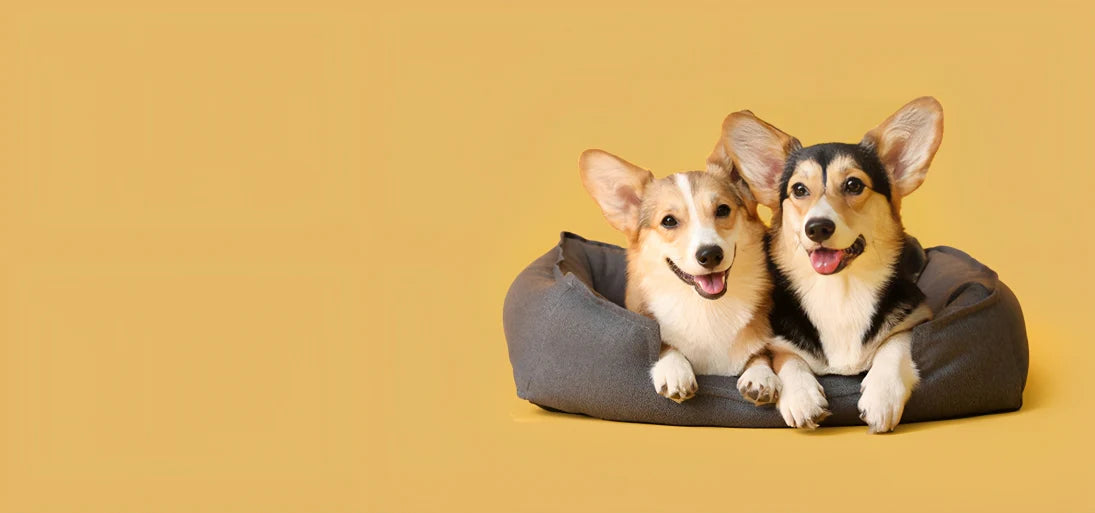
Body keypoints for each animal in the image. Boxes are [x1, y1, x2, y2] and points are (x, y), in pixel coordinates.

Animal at [582, 144, 779, 405]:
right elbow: (666, 345)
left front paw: (761, 375)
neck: (706, 307)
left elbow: (760, 353)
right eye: (668, 221)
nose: (710, 254)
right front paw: (674, 369)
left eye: (723, 210)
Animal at [713, 97, 946, 431]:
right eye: (799, 190)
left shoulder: (915, 317)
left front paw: (882, 396)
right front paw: (801, 397)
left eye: (853, 185)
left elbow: (894, 345)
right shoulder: (778, 340)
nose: (818, 227)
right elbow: (788, 359)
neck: (841, 290)